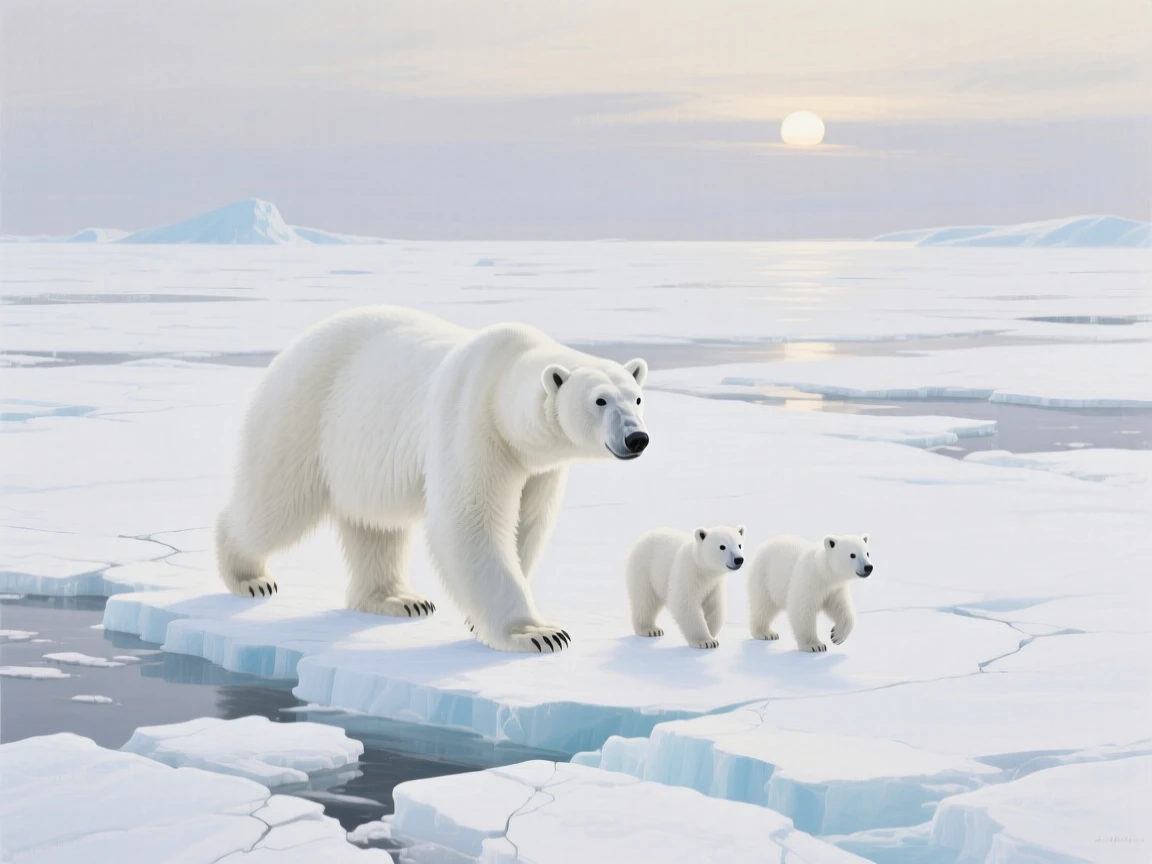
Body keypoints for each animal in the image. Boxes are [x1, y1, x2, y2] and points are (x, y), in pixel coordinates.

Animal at [215, 305, 650, 653]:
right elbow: (472, 522)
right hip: (304, 413)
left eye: (637, 397)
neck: (503, 380)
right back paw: (250, 577)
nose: (637, 438)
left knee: (376, 526)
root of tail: (294, 346)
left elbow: (527, 524)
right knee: (276, 504)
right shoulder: (472, 423)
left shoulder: (537, 466)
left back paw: (398, 599)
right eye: (599, 400)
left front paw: (480, 621)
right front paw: (538, 634)